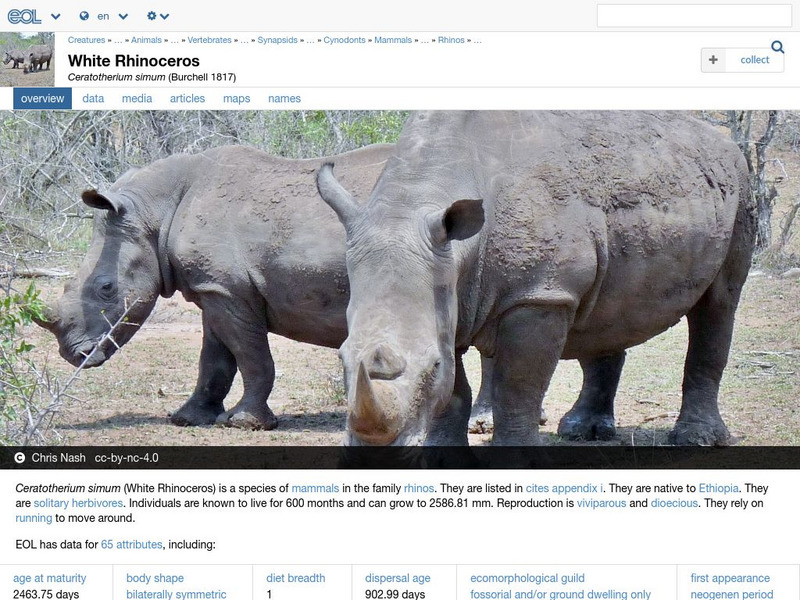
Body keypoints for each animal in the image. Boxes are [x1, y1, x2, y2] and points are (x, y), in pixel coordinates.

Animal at [35, 144, 394, 429]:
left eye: (107, 288)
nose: (74, 355)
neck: (155, 211)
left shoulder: (228, 290)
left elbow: (251, 357)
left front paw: (244, 423)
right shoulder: (214, 288)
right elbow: (214, 360)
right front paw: (188, 418)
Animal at [317, 111, 755, 447]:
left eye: (432, 365)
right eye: (341, 358)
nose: (374, 450)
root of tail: (723, 142)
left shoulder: (539, 293)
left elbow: (517, 386)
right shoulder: (449, 287)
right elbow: (455, 390)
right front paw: (441, 455)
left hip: (740, 182)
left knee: (720, 303)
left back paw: (696, 439)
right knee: (609, 309)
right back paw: (583, 431)